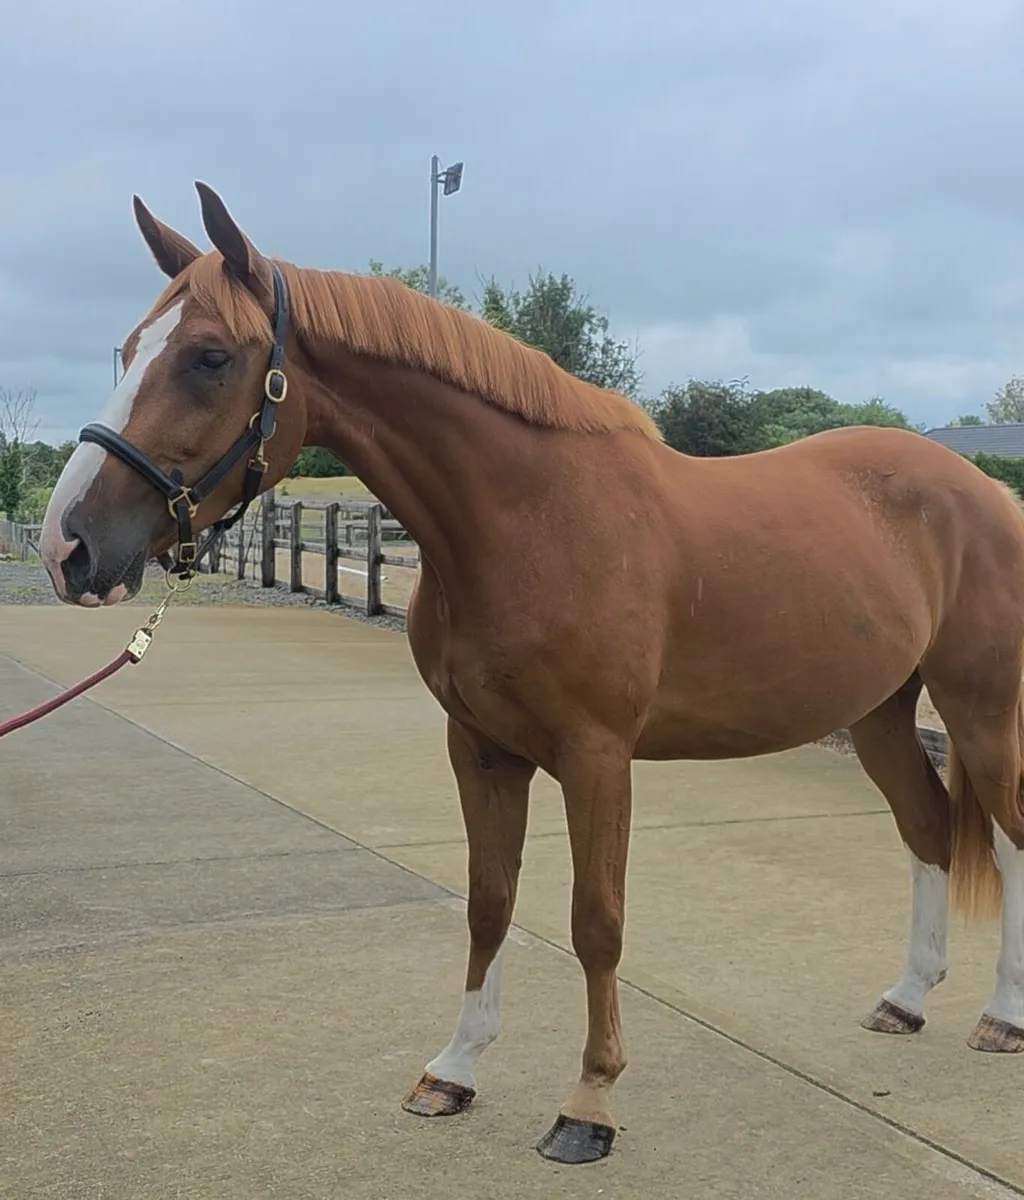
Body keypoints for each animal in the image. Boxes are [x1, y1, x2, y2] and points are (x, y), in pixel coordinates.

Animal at [38, 182, 1024, 1164]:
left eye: (209, 357)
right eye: (127, 349)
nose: (67, 546)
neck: (527, 518)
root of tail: (982, 488)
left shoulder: (597, 758)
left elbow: (597, 921)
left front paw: (589, 1102)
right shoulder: (480, 748)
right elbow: (490, 900)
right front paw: (453, 1070)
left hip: (980, 710)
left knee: (1008, 838)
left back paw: (1001, 1017)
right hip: (881, 712)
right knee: (928, 827)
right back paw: (906, 999)